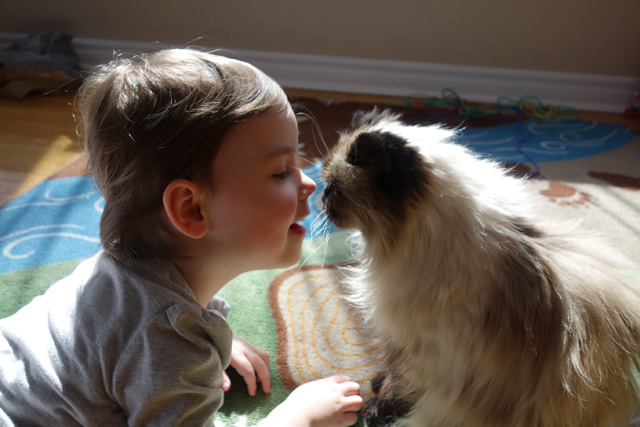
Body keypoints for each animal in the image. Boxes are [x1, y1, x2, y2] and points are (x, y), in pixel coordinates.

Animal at [322, 108, 640, 426]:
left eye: (332, 187)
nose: (322, 200)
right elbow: (392, 374)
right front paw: (377, 385)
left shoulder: (413, 347)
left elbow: (397, 384)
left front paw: (377, 407)